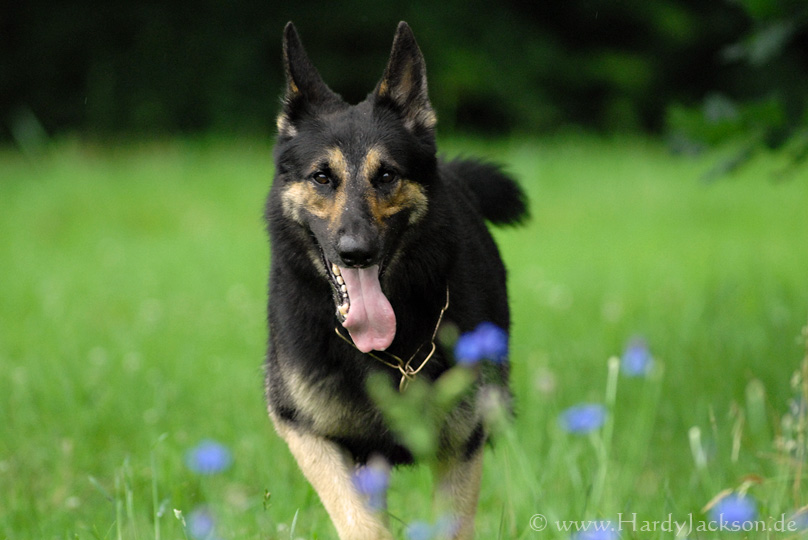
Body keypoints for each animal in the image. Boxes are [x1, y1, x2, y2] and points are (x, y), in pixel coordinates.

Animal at [266, 21, 528, 540]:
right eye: (322, 177)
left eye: (386, 175)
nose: (356, 251)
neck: (384, 350)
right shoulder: (309, 434)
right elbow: (361, 524)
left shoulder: (459, 448)